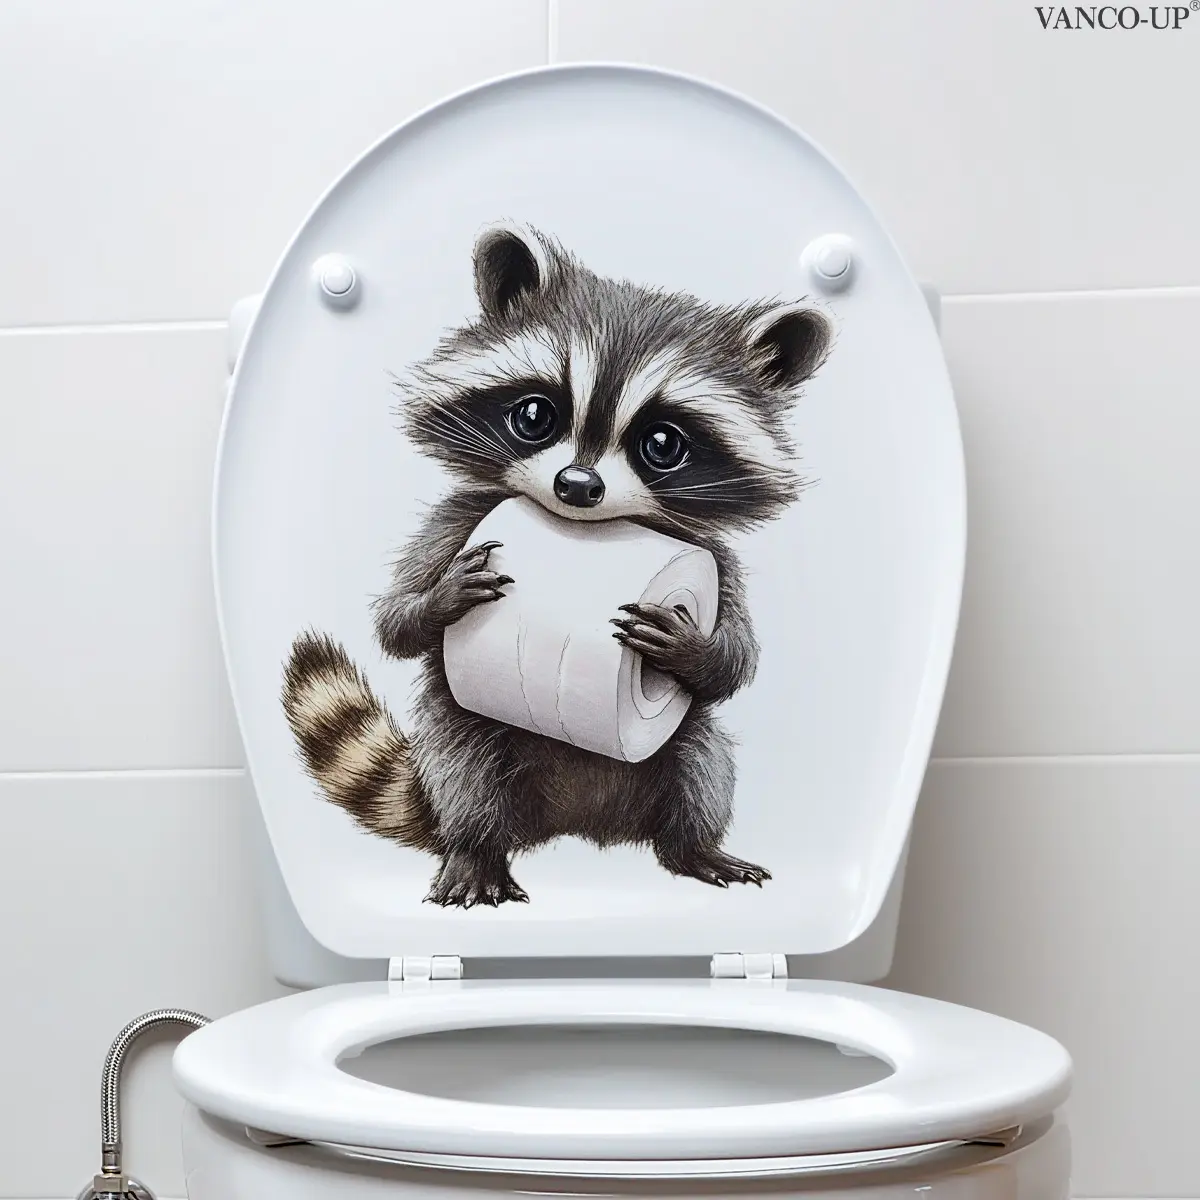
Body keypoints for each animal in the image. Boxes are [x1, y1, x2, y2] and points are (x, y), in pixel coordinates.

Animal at [283, 222, 833, 908]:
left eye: (662, 444)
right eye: (535, 415)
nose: (577, 485)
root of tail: (577, 825)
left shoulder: (715, 561)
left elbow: (736, 660)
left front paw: (696, 649)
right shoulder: (456, 520)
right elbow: (394, 622)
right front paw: (438, 598)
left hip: (675, 751)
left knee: (702, 763)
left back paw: (695, 847)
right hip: (467, 738)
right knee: (467, 769)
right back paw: (474, 849)